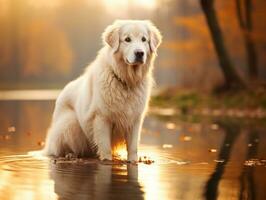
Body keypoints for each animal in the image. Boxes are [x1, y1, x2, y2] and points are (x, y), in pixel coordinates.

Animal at [43, 19, 162, 162]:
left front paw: (133, 161)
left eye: (144, 39)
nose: (139, 53)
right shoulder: (102, 118)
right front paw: (107, 161)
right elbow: (105, 148)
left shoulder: (135, 120)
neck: (125, 81)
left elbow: (133, 147)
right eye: (127, 39)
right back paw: (70, 155)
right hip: (69, 123)